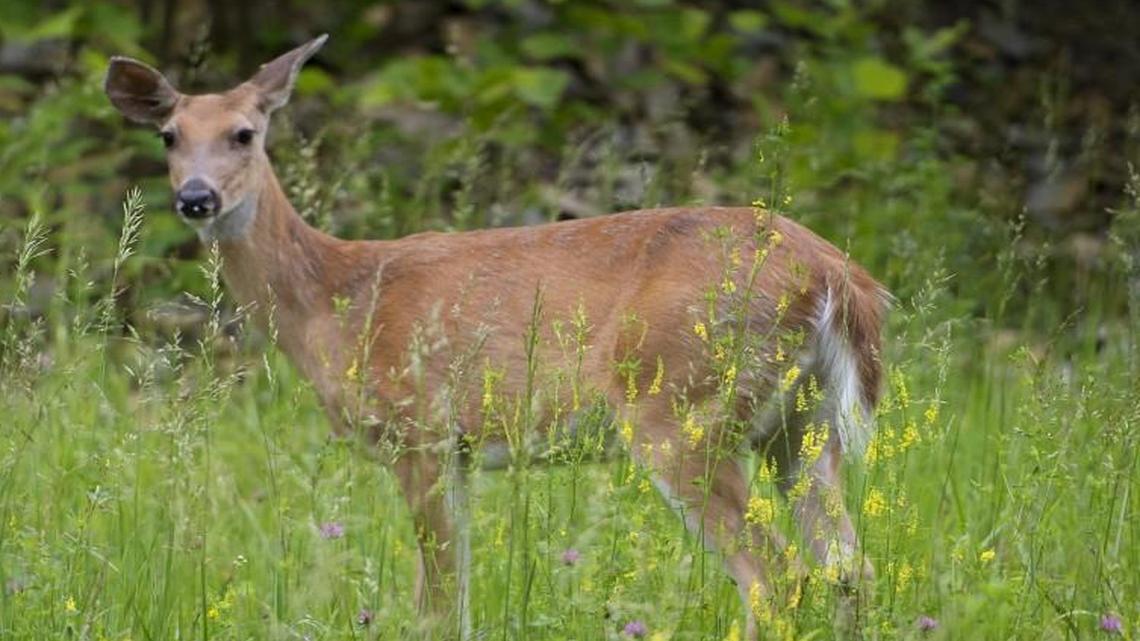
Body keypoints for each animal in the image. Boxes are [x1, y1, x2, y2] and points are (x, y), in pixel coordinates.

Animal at [105, 35, 888, 640]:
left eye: (245, 132)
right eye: (169, 136)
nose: (196, 197)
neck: (337, 298)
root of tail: (836, 274)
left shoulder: (420, 430)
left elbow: (439, 606)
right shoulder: (456, 453)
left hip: (681, 406)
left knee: (774, 575)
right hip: (802, 423)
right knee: (849, 568)